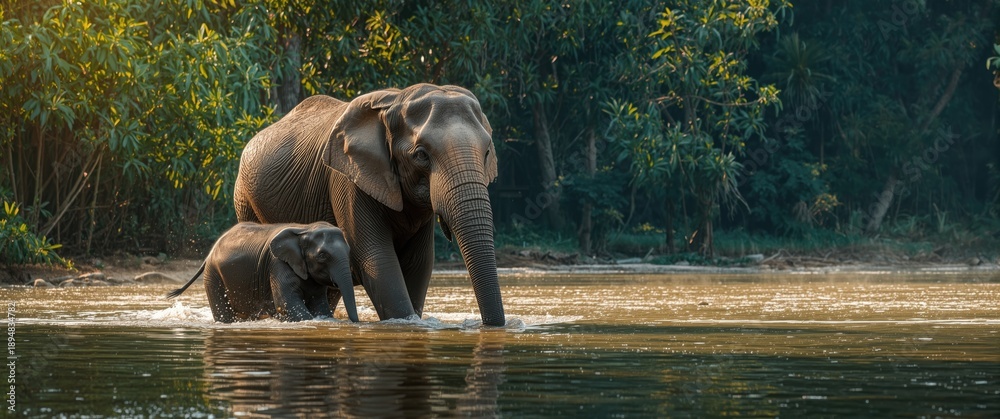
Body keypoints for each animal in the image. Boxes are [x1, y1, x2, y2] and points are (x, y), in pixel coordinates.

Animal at [166, 221, 359, 323]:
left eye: (349, 252)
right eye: (323, 256)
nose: (355, 323)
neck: (306, 228)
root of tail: (210, 253)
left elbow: (320, 305)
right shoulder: (278, 265)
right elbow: (286, 304)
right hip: (213, 275)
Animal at [233, 83, 505, 326]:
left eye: (486, 153)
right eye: (421, 155)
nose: (488, 325)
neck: (396, 100)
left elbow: (419, 264)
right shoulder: (348, 180)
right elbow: (378, 261)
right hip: (244, 199)